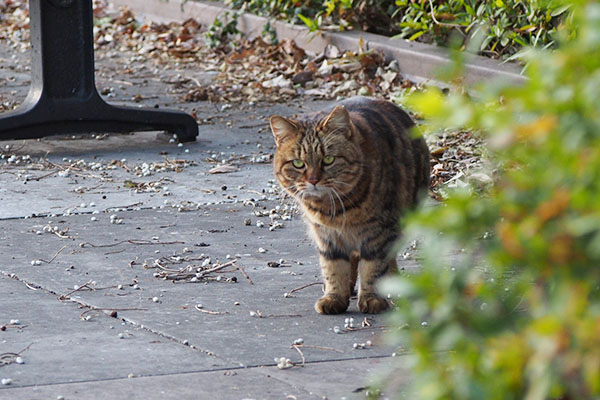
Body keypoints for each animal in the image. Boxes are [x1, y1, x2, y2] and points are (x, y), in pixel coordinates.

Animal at [270, 96, 428, 312]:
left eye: (328, 159)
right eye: (298, 163)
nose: (313, 180)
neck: (333, 210)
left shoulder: (378, 233)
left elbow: (373, 268)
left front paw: (372, 298)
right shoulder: (326, 237)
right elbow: (334, 268)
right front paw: (334, 296)